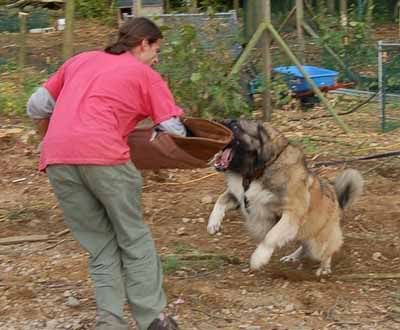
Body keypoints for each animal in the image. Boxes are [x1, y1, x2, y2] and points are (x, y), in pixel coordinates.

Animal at [208, 120, 364, 274]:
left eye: (235, 126)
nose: (212, 126)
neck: (261, 170)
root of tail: (338, 202)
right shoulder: (239, 197)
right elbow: (220, 201)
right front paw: (213, 223)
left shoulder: (292, 213)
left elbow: (270, 237)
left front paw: (259, 258)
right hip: (301, 232)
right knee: (304, 246)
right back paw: (292, 257)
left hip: (317, 242)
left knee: (326, 251)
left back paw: (324, 268)